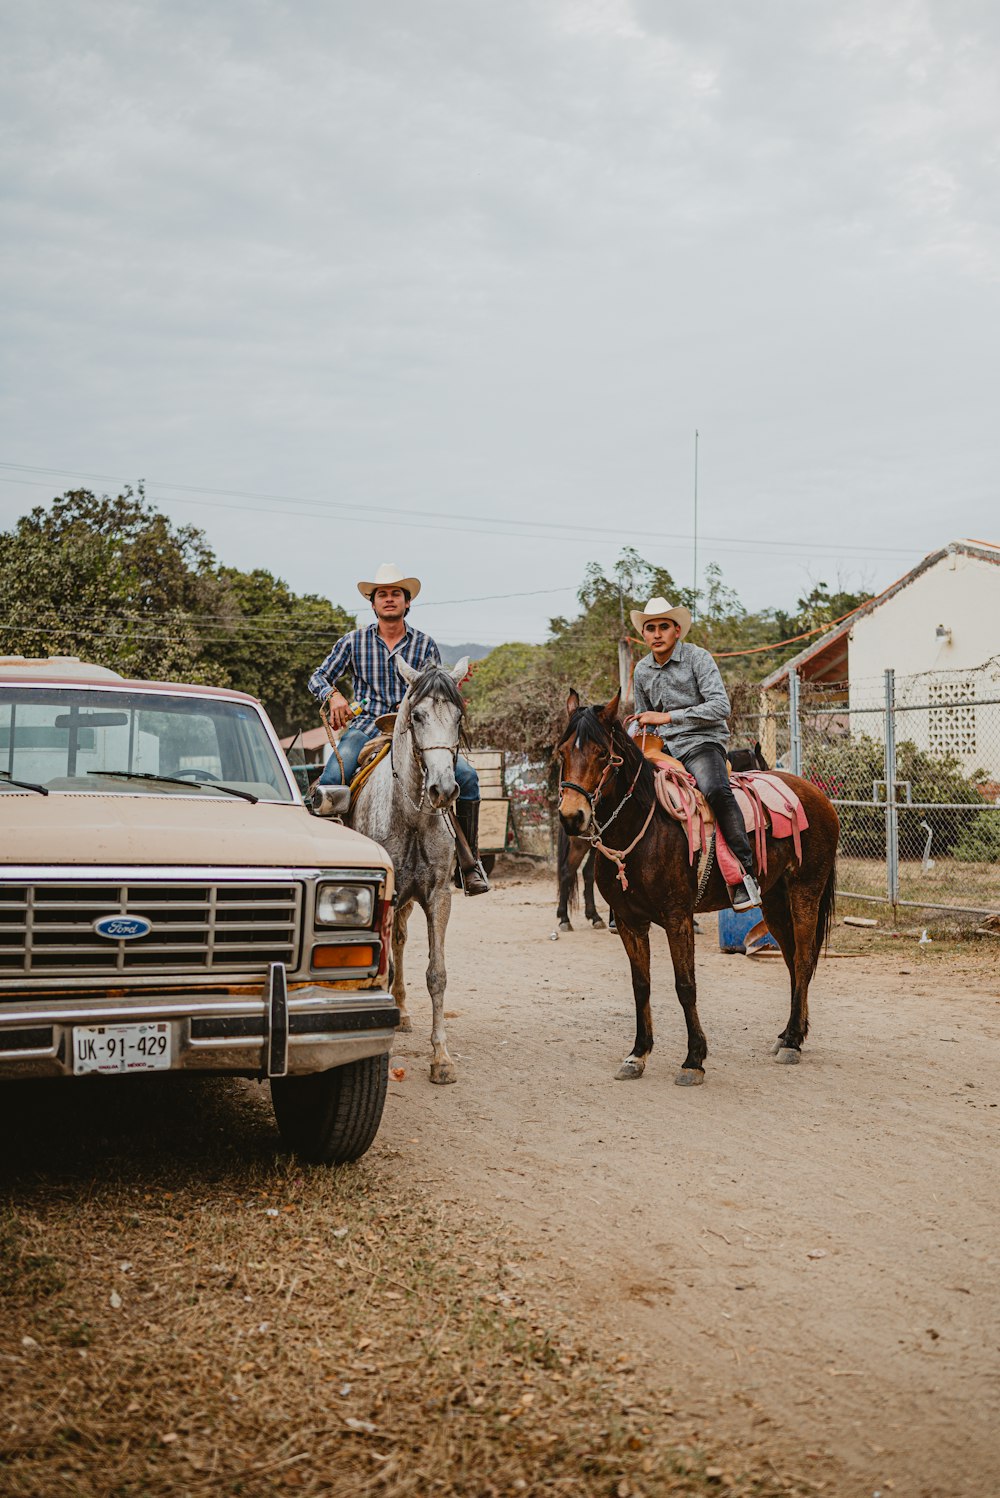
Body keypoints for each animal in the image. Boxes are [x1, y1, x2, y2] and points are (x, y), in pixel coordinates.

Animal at [347, 662, 470, 1084]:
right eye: (417, 716)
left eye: (458, 716)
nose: (443, 789)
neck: (413, 817)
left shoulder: (439, 897)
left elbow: (437, 974)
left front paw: (442, 1059)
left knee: (400, 942)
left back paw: (401, 1013)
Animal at [559, 689, 838, 1090]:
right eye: (562, 752)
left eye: (601, 754)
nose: (572, 816)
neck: (642, 828)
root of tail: (816, 796)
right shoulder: (630, 922)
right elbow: (641, 985)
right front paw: (637, 1053)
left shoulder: (677, 917)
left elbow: (685, 985)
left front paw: (694, 1060)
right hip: (773, 901)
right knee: (791, 960)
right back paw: (790, 1034)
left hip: (806, 891)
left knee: (802, 959)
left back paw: (792, 1044)